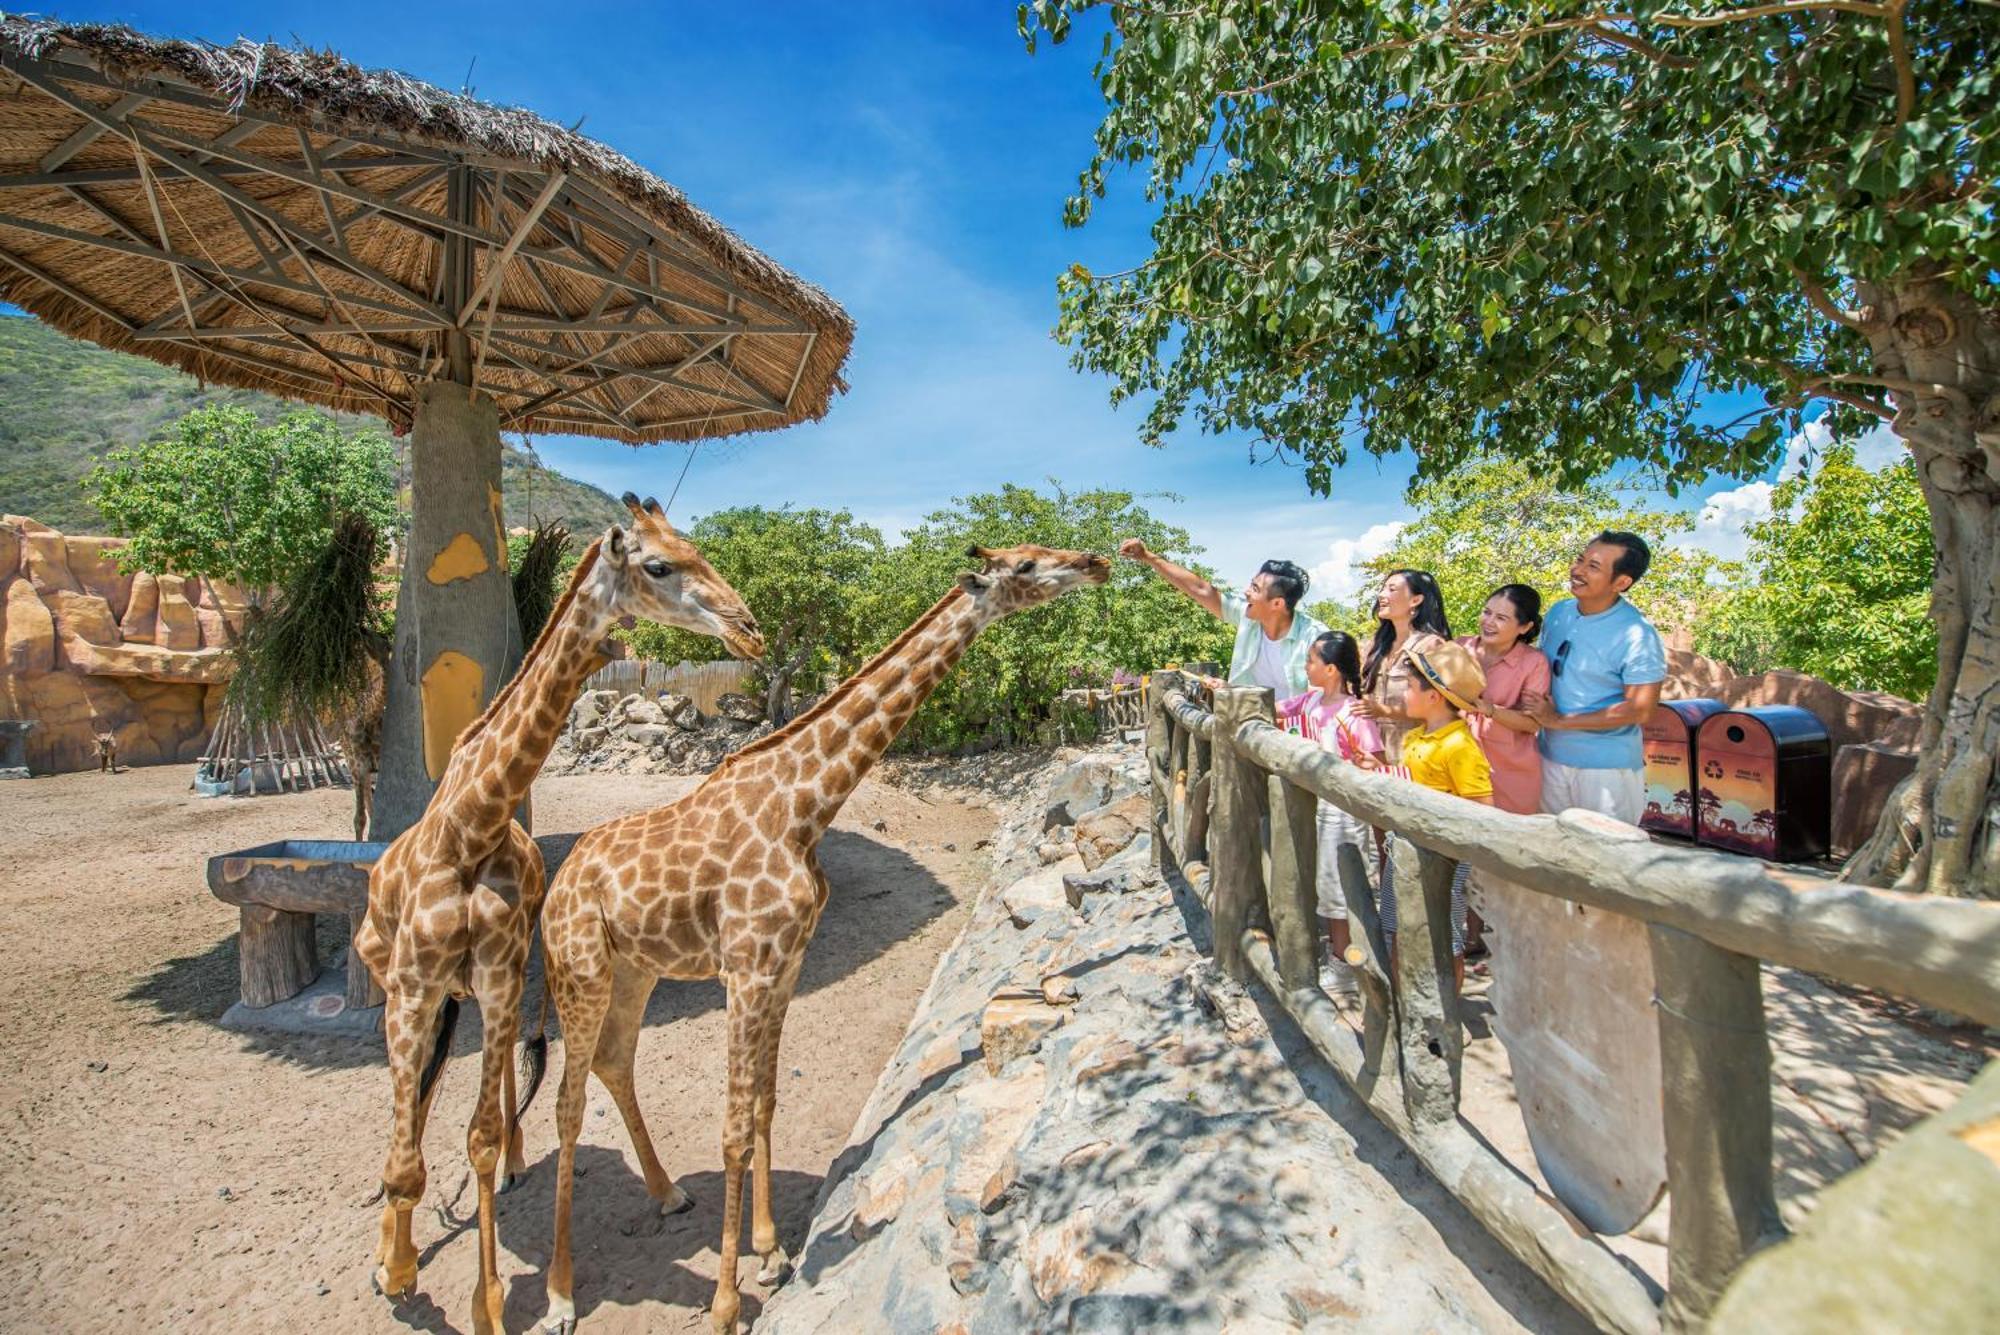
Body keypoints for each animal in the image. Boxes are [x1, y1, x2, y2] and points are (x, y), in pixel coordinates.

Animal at [352, 493, 764, 1335]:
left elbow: (476, 1135)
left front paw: (486, 1303)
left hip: (489, 992)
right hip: (403, 984)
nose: (748, 626)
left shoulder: (498, 976)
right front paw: (396, 1266)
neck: (471, 825)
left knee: (494, 1085)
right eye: (659, 564)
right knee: (417, 1099)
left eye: (696, 546)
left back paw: (525, 1166)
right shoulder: (411, 985)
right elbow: (409, 1148)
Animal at [540, 539, 1120, 1327]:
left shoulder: (787, 965)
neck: (804, 806)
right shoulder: (746, 968)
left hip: (636, 968)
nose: (1095, 562)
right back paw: (560, 1295)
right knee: (567, 1106)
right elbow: (731, 1124)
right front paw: (726, 1303)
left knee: (614, 1061)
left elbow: (764, 1101)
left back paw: (667, 1194)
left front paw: (771, 1251)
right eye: (1025, 565)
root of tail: (556, 884)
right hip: (579, 972)